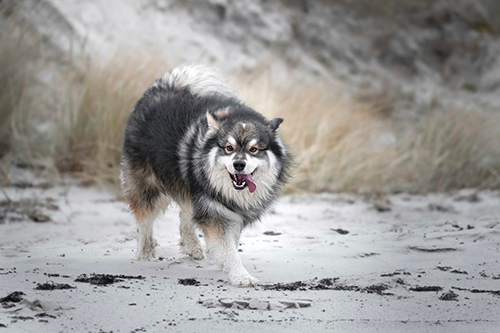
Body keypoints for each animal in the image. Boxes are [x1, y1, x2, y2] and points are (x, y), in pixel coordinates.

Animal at [120, 64, 292, 286]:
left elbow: (230, 243)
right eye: (229, 148)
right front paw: (240, 275)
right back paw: (145, 252)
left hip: (187, 186)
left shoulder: (228, 212)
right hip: (147, 185)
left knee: (185, 217)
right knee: (145, 220)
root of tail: (164, 87)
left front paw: (224, 264)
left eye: (254, 150)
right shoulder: (215, 213)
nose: (238, 164)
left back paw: (192, 247)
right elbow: (228, 249)